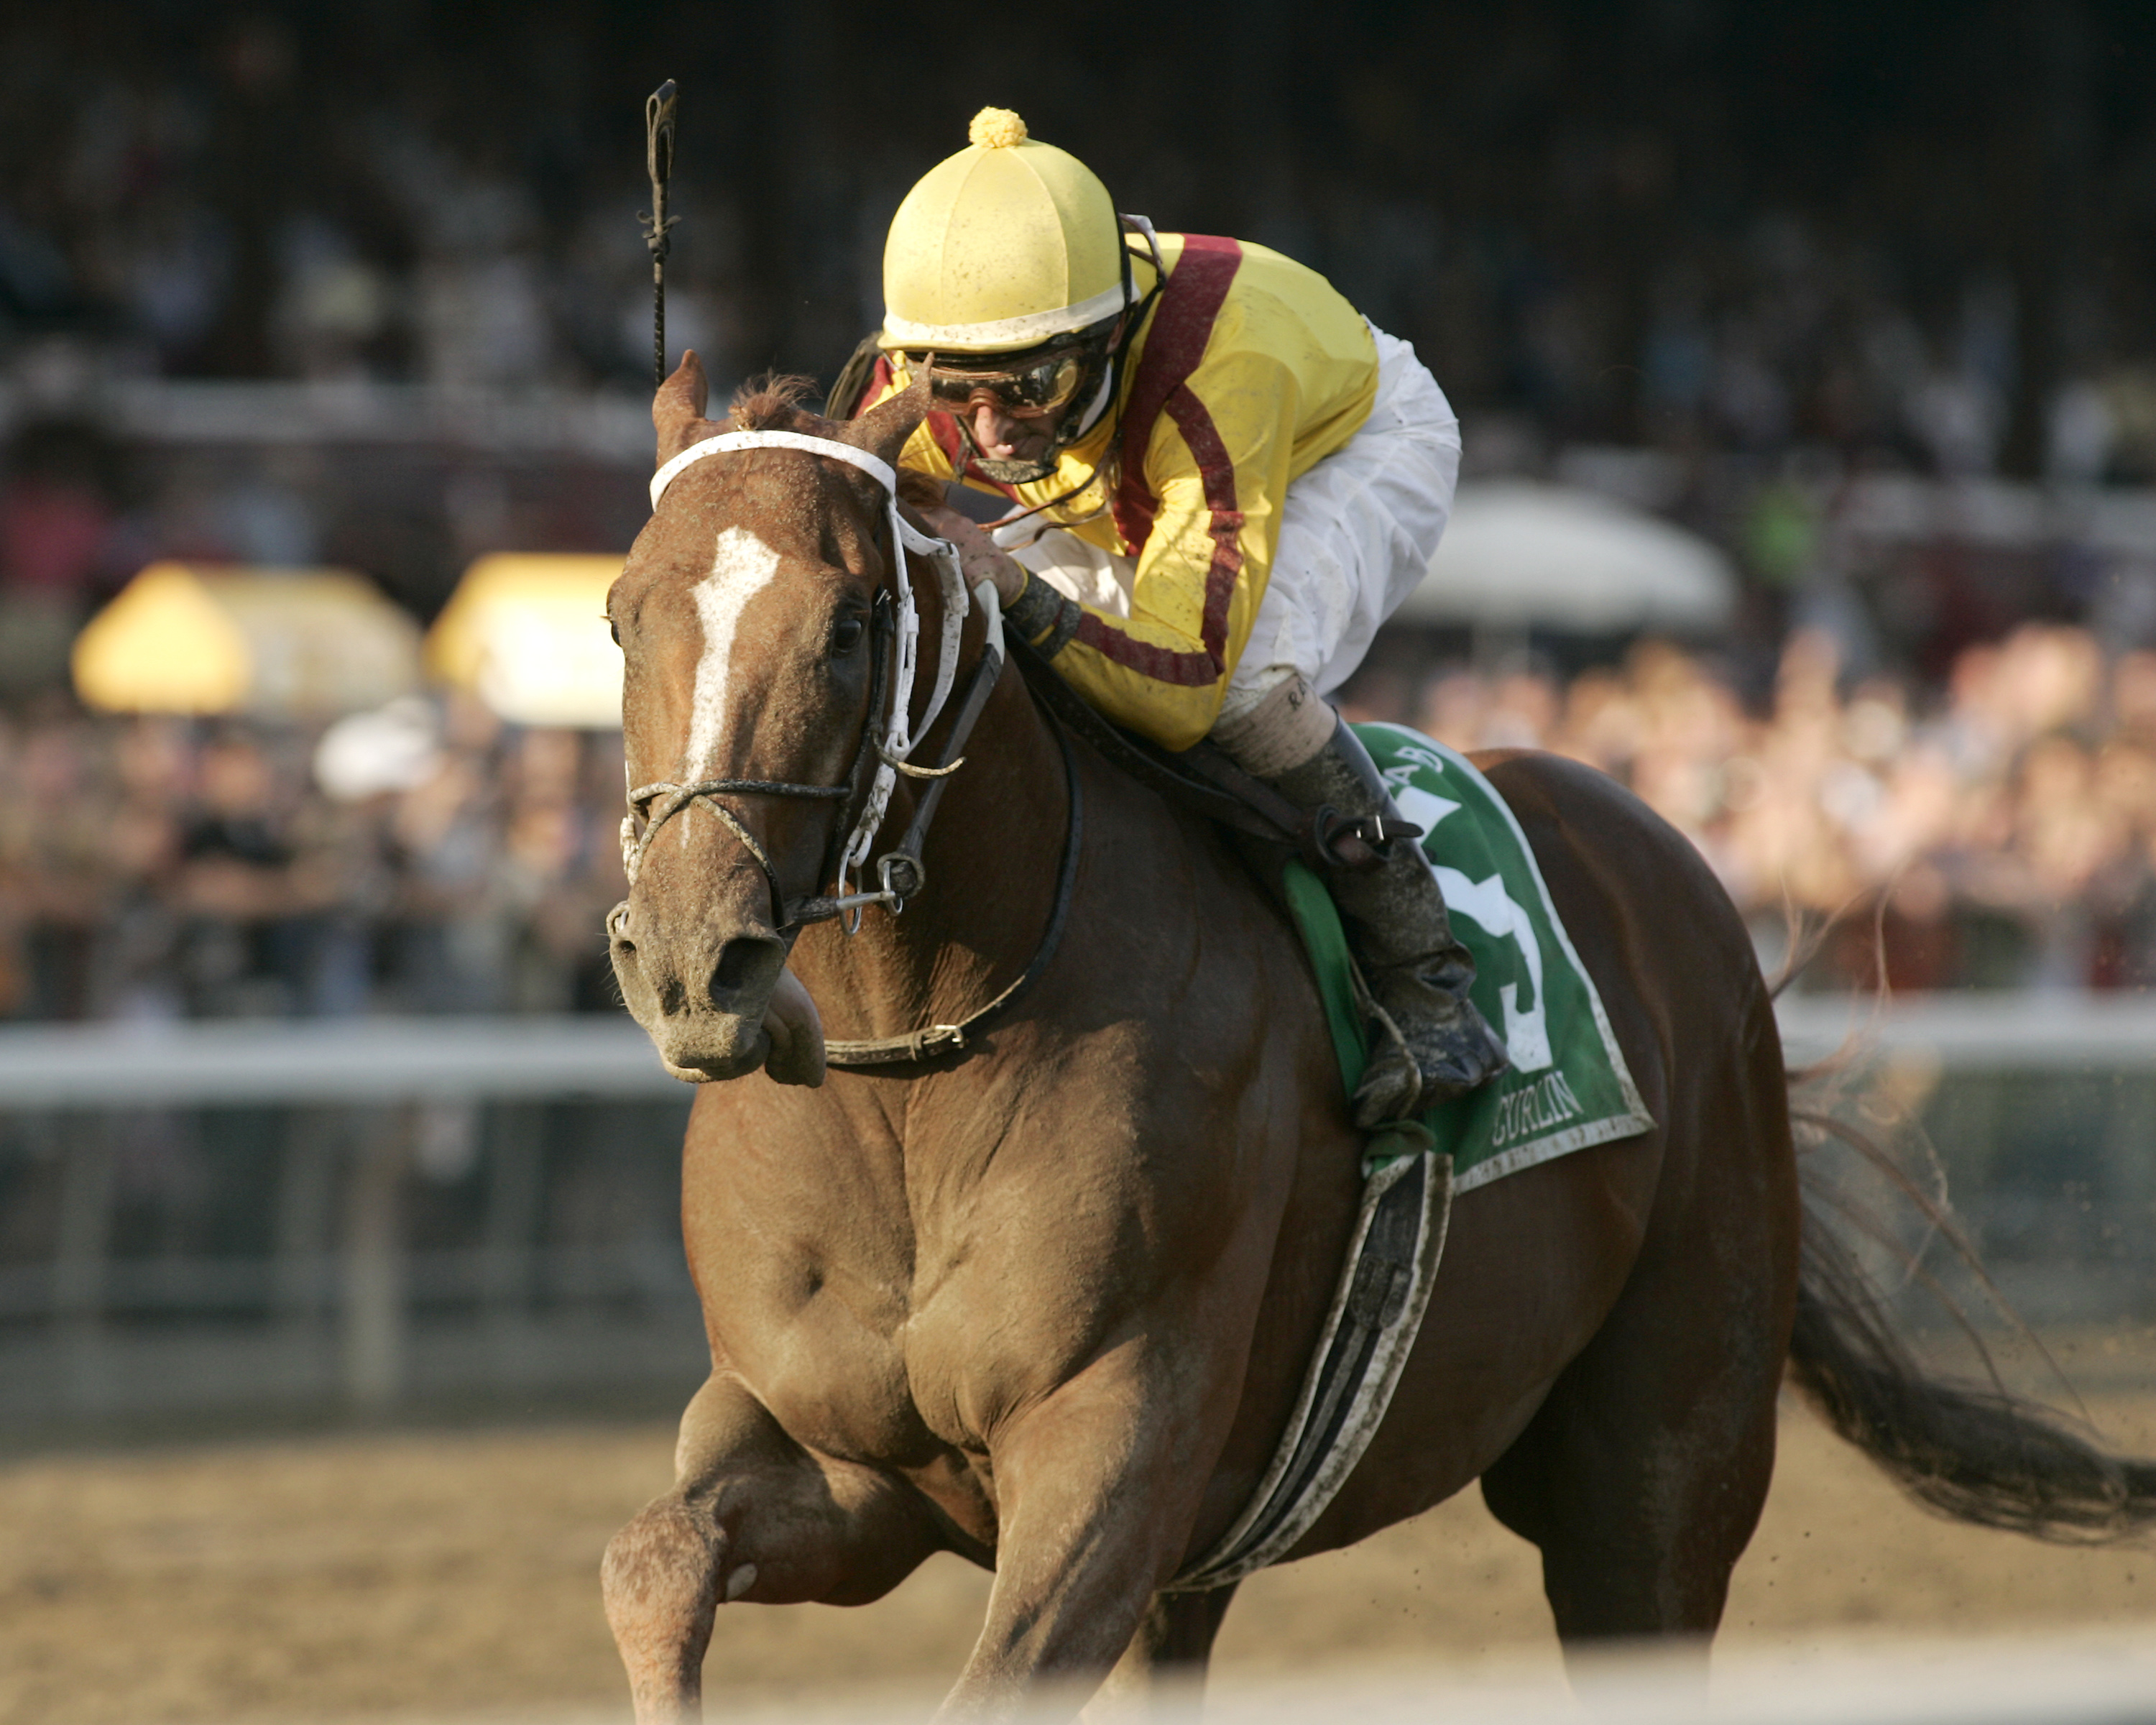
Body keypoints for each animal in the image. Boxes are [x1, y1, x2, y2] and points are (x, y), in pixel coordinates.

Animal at [599, 354, 2156, 1725]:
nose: (689, 959)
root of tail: (1672, 865)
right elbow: (651, 1556)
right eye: (621, 615)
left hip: (1657, 1469)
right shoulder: (854, 1460)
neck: (915, 1075)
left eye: (852, 623)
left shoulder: (1114, 1447)